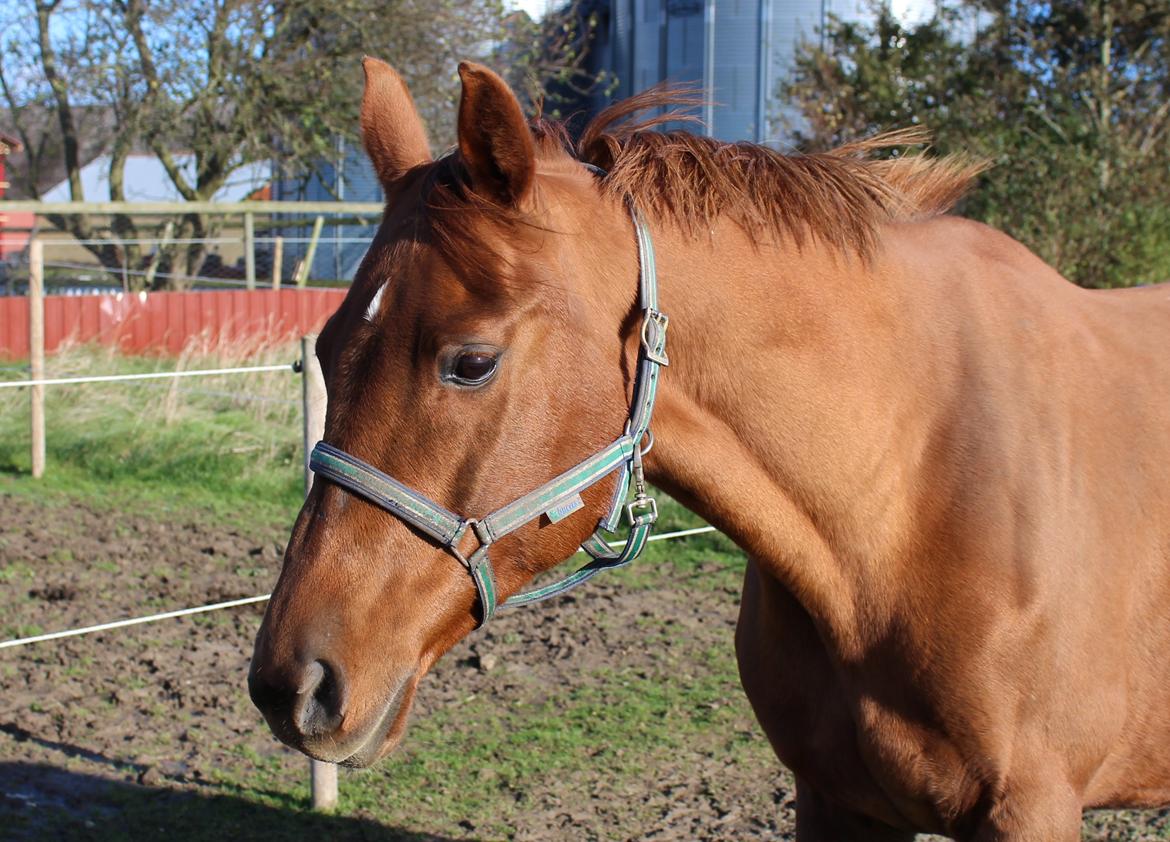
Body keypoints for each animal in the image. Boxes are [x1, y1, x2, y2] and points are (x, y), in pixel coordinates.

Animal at [251, 55, 1170, 837]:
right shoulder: (836, 801)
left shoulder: (1031, 809)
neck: (910, 493)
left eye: (470, 362)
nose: (290, 683)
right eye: (327, 348)